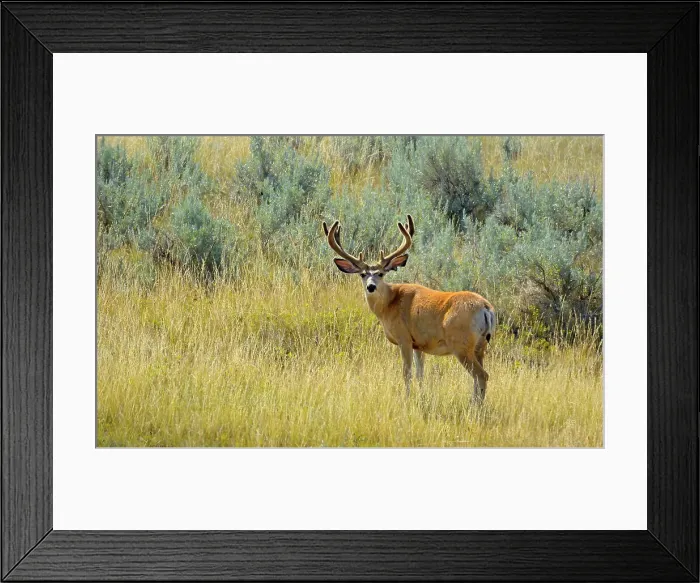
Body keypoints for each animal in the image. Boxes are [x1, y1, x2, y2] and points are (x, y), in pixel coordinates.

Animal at [323, 215, 496, 403]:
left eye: (381, 273)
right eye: (362, 274)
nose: (371, 287)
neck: (389, 304)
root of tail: (486, 308)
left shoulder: (404, 338)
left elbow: (406, 373)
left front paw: (406, 398)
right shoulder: (418, 344)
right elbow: (420, 374)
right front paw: (422, 396)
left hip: (461, 344)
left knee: (482, 375)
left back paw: (475, 406)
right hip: (480, 346)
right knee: (479, 377)